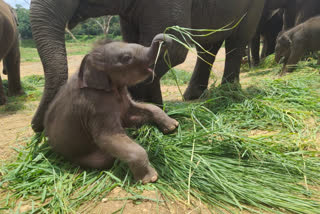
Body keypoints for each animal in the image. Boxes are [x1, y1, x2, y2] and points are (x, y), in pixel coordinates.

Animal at [30, 0, 264, 132]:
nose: (37, 128)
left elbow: (174, 48)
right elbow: (134, 41)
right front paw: (156, 108)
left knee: (237, 40)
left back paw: (229, 93)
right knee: (209, 44)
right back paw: (193, 96)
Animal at [45, 33, 179, 184]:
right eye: (126, 58)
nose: (163, 38)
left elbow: (133, 113)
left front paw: (173, 127)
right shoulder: (95, 104)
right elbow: (108, 137)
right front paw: (150, 179)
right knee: (104, 159)